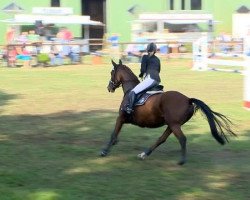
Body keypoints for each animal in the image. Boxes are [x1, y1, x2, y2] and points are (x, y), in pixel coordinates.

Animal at [100, 59, 237, 164]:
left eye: (112, 72)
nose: (109, 87)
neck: (130, 90)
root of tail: (188, 99)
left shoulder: (121, 117)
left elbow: (113, 134)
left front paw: (104, 151)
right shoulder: (124, 119)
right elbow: (116, 134)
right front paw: (113, 144)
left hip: (174, 125)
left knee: (182, 139)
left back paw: (181, 161)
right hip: (171, 125)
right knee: (161, 139)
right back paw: (144, 154)